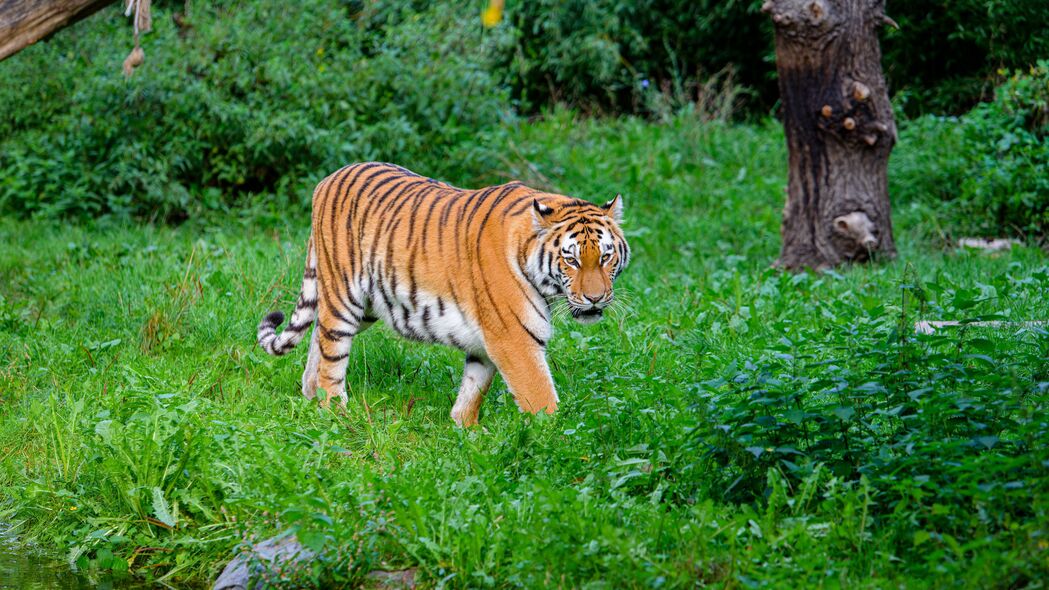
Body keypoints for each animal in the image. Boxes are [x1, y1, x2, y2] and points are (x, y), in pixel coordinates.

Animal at [255, 162, 629, 424]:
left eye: (605, 256)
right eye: (571, 259)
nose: (595, 298)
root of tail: (327, 180)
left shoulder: (490, 338)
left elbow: (474, 387)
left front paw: (466, 429)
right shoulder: (515, 338)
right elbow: (540, 397)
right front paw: (558, 440)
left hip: (366, 306)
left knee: (318, 335)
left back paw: (310, 395)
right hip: (345, 295)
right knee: (332, 352)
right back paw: (336, 410)